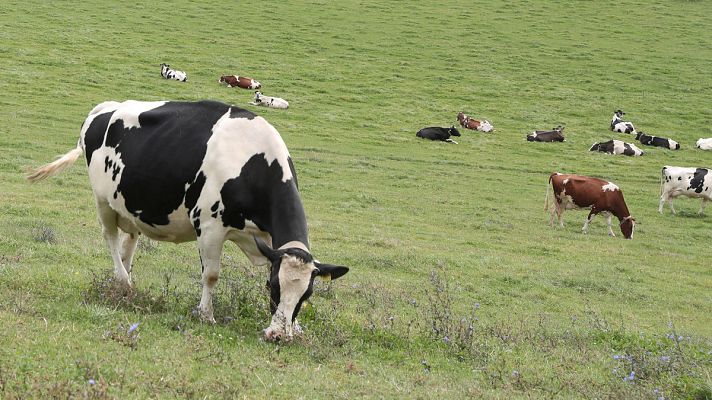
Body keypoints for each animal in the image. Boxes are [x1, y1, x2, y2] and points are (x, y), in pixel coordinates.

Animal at [27, 100, 349, 342]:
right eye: (272, 287)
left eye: (307, 294)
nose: (277, 335)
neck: (252, 160)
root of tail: (105, 107)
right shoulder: (209, 226)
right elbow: (211, 275)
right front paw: (206, 315)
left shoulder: (268, 239)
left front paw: (296, 327)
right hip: (103, 201)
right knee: (110, 239)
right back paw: (123, 281)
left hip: (130, 207)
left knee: (128, 244)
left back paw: (124, 284)